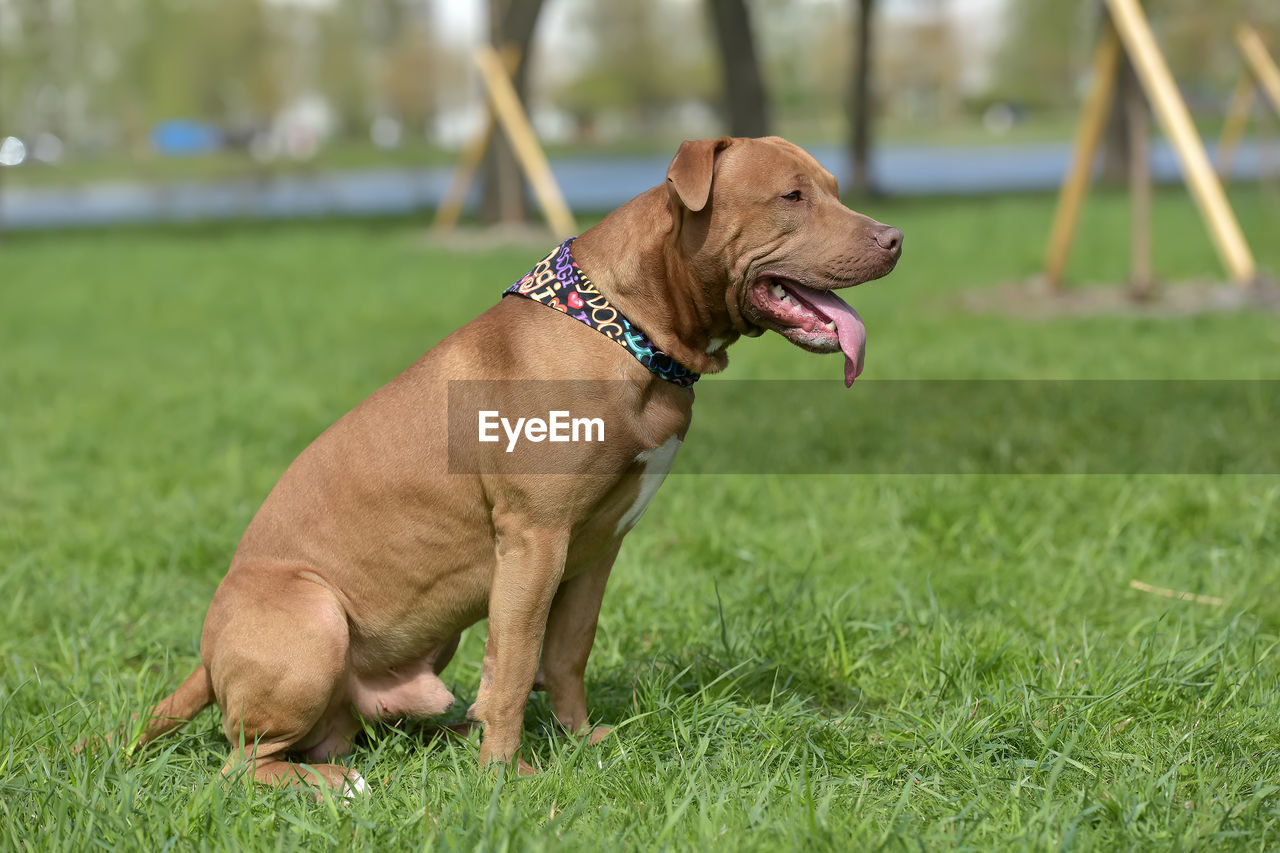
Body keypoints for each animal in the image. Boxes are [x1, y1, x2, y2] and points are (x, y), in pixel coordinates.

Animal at [137, 136, 901, 794]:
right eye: (793, 195)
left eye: (834, 190)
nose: (895, 239)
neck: (627, 328)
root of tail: (206, 657)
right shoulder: (535, 540)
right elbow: (514, 663)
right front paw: (505, 775)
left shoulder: (595, 547)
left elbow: (564, 653)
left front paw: (580, 740)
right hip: (315, 617)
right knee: (246, 763)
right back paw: (343, 783)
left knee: (340, 735)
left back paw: (442, 737)